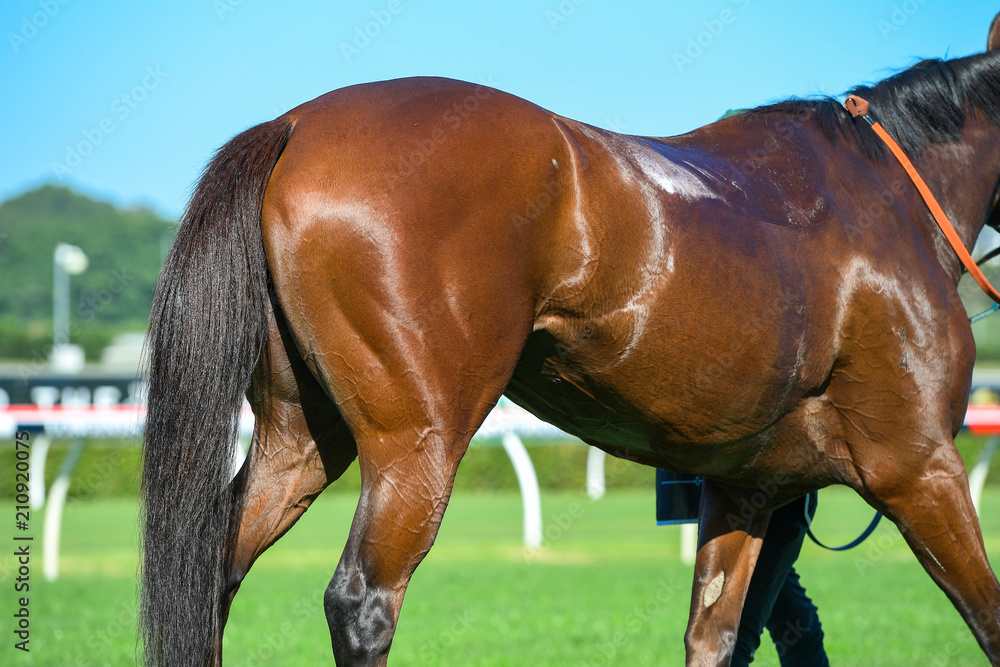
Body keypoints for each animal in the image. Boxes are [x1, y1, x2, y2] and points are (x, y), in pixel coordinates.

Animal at [140, 16, 1000, 666]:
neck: (884, 201)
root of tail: (296, 124)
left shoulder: (750, 488)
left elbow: (721, 635)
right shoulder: (918, 467)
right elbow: (988, 617)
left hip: (300, 437)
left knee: (212, 570)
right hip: (417, 441)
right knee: (363, 600)